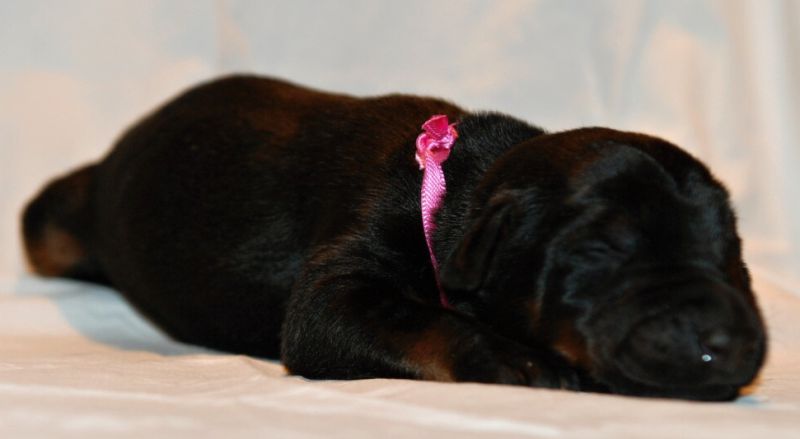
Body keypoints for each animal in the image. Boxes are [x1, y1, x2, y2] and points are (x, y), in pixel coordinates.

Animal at [22, 75, 766, 400]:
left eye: (729, 251)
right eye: (601, 251)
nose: (726, 342)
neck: (462, 191)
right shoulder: (338, 287)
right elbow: (418, 318)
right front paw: (517, 360)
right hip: (49, 223)